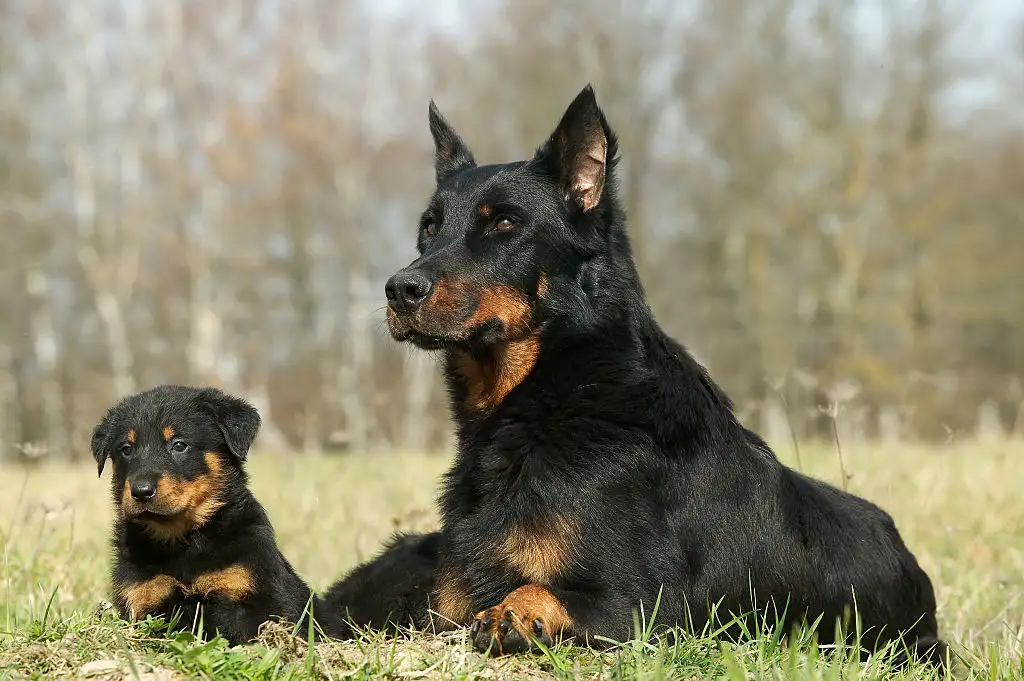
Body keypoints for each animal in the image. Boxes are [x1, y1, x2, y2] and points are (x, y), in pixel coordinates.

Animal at [91, 385, 331, 647]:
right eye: (126, 449)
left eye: (179, 445)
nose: (141, 491)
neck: (182, 538)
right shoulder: (144, 597)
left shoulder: (249, 591)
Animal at [378, 87, 950, 667]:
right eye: (429, 227)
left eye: (503, 225)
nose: (399, 289)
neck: (561, 388)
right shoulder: (446, 600)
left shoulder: (651, 610)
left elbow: (539, 591)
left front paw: (513, 615)